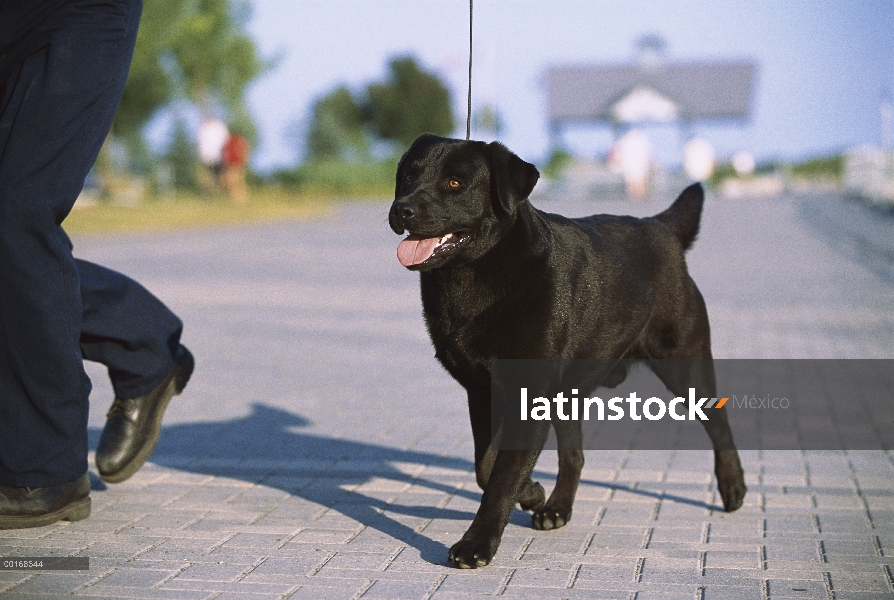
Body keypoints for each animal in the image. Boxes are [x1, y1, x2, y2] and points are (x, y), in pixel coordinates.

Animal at [388, 134, 744, 568]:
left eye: (455, 184)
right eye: (408, 176)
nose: (401, 209)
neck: (474, 279)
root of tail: (660, 226)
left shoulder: (529, 394)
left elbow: (501, 476)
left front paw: (477, 544)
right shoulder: (481, 391)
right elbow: (487, 466)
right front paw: (531, 492)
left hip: (685, 363)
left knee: (720, 422)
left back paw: (733, 488)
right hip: (568, 389)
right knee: (574, 454)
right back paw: (557, 508)